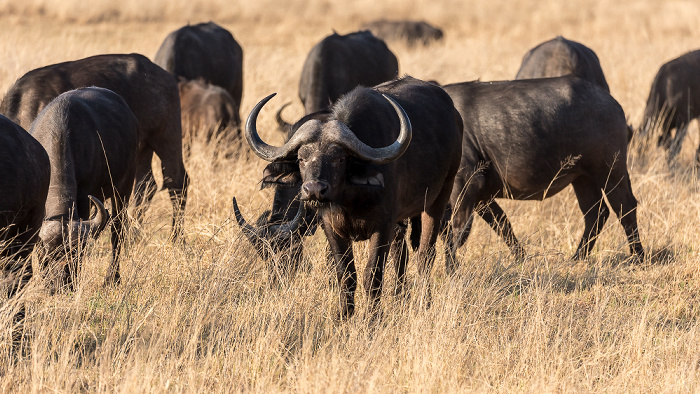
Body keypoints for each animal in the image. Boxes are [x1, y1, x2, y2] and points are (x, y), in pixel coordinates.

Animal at [0, 53, 189, 239]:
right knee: (146, 185)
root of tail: (165, 76)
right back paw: (136, 235)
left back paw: (177, 238)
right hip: (142, 149)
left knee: (177, 181)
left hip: (167, 137)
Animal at [30, 87, 139, 290]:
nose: (60, 284)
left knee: (117, 231)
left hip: (124, 187)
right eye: (47, 254)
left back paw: (112, 278)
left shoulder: (84, 201)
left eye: (74, 253)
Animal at [241, 77, 464, 320]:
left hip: (439, 196)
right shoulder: (332, 226)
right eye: (301, 158)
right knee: (401, 252)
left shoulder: (383, 225)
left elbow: (372, 274)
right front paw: (343, 316)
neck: (351, 199)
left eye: (339, 159)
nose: (314, 190)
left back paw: (424, 301)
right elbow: (345, 273)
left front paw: (372, 319)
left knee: (426, 253)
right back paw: (400, 298)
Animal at [442, 75, 644, 266]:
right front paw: (521, 257)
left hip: (610, 171)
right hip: (583, 178)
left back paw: (637, 256)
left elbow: (456, 231)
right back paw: (579, 256)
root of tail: (612, 103)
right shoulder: (483, 197)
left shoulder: (467, 186)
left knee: (625, 208)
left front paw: (451, 265)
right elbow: (502, 224)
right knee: (596, 213)